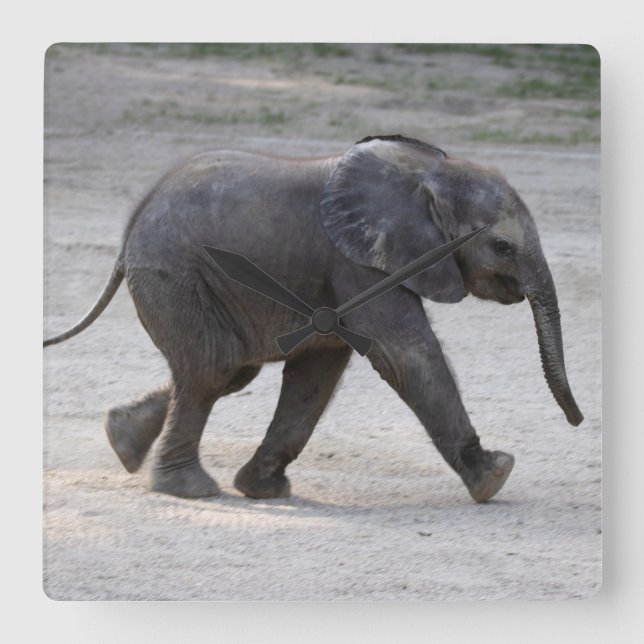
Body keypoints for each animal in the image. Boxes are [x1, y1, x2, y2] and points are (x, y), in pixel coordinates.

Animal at [44, 134, 583, 503]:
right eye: (502, 247)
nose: (578, 421)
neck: (429, 173)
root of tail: (130, 228)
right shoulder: (357, 263)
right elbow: (405, 352)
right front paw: (495, 476)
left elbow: (319, 369)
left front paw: (263, 487)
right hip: (174, 271)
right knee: (216, 366)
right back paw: (189, 489)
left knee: (228, 370)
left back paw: (122, 440)